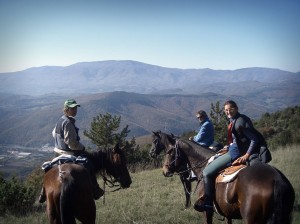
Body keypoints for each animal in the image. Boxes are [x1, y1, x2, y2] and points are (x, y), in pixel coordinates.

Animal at [152, 131, 296, 224]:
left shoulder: (206, 212)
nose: (165, 170)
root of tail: (276, 179)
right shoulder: (227, 212)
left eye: (170, 151)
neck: (203, 165)